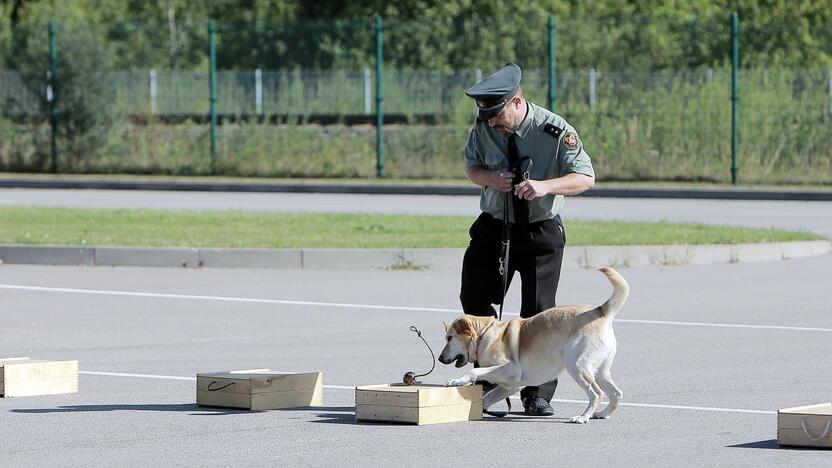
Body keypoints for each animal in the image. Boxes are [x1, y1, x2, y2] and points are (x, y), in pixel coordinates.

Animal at [438, 266, 628, 424]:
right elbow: (488, 397)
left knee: (597, 393)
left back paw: (583, 417)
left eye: (450, 338)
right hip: (600, 371)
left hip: (577, 367)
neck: (484, 335)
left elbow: (475, 371)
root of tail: (601, 311)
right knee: (617, 393)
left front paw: (457, 380)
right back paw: (603, 413)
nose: (439, 358)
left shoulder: (510, 369)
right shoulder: (511, 385)